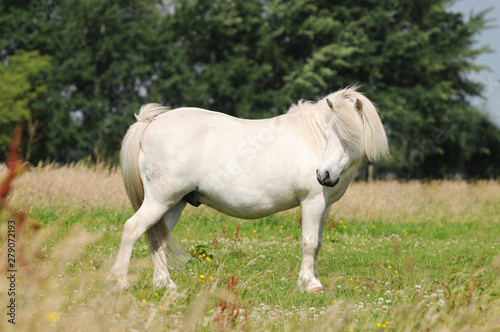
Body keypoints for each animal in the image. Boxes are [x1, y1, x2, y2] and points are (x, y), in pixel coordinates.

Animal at [109, 86, 388, 294]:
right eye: (329, 133)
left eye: (351, 136)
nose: (324, 175)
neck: (313, 139)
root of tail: (149, 123)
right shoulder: (312, 202)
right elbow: (309, 244)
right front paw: (310, 285)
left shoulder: (324, 206)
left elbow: (317, 243)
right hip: (160, 199)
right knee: (132, 230)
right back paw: (119, 282)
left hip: (173, 203)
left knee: (157, 238)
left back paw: (165, 284)